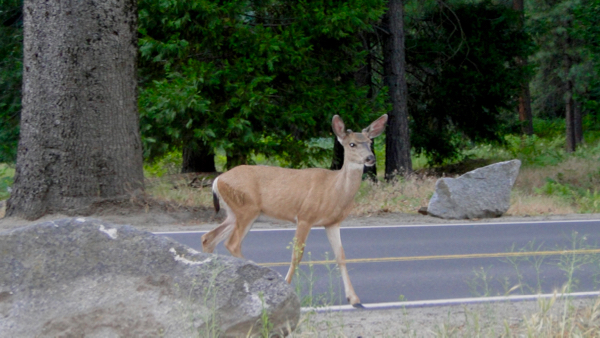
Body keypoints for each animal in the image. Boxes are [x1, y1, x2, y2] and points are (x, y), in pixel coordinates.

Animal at [202, 115, 390, 308]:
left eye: (370, 142)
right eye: (352, 144)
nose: (370, 158)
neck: (334, 189)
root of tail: (217, 180)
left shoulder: (332, 222)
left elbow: (341, 256)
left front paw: (354, 299)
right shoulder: (305, 216)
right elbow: (296, 255)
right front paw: (286, 285)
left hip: (234, 212)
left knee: (209, 237)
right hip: (247, 208)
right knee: (232, 243)